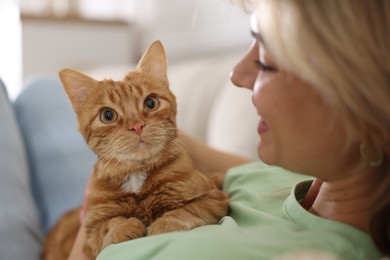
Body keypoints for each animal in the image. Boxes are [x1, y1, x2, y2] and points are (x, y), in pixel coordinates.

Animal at [41, 41, 229, 260]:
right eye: (107, 115)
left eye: (151, 103)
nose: (137, 126)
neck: (136, 175)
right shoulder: (91, 229)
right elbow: (109, 224)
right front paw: (123, 227)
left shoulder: (213, 196)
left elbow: (185, 211)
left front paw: (165, 224)